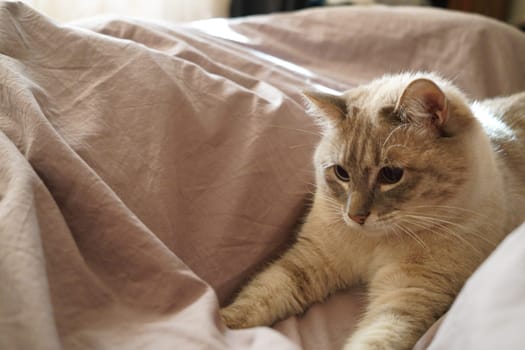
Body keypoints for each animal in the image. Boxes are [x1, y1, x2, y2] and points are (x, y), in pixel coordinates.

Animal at [220, 72, 524, 348]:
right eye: (341, 173)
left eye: (391, 175)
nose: (355, 216)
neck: (375, 243)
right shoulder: (311, 261)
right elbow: (259, 296)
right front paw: (220, 325)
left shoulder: (408, 294)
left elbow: (376, 339)